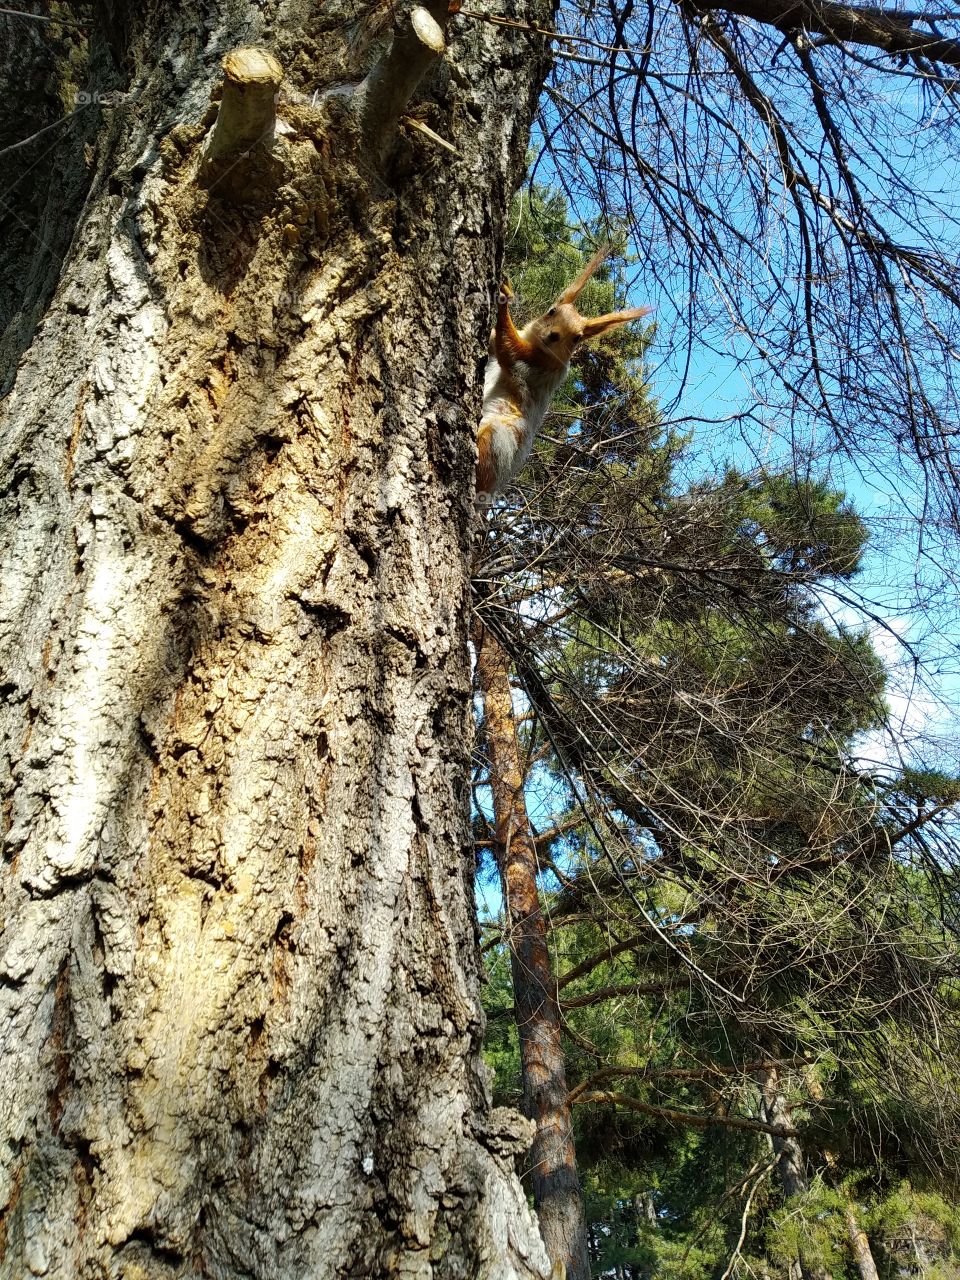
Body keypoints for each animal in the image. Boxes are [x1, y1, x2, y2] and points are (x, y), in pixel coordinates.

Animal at [475, 244, 651, 504]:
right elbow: (495, 344)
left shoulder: (534, 367)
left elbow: (510, 348)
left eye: (577, 337)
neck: (538, 347)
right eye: (551, 311)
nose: (553, 336)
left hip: (500, 438)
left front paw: (504, 297)